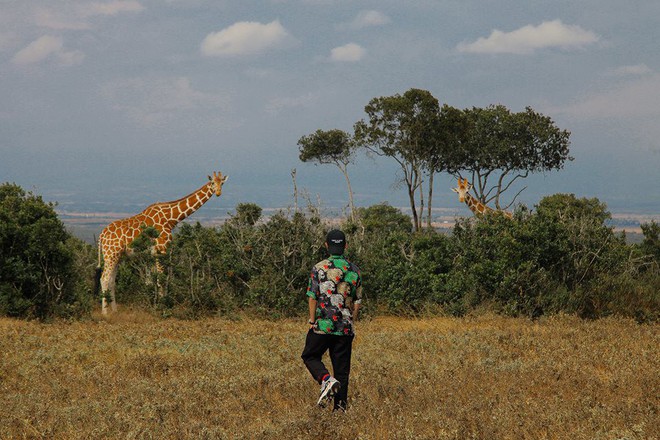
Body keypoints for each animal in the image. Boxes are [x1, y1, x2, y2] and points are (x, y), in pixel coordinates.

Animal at [96, 171, 228, 312]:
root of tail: (101, 235)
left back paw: (114, 310)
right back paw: (105, 312)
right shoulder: (161, 249)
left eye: (222, 183)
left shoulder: (154, 254)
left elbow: (154, 280)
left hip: (117, 256)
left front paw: (157, 303)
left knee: (111, 280)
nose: (218, 192)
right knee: (104, 278)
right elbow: (161, 279)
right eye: (212, 182)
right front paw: (163, 306)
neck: (171, 218)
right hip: (111, 254)